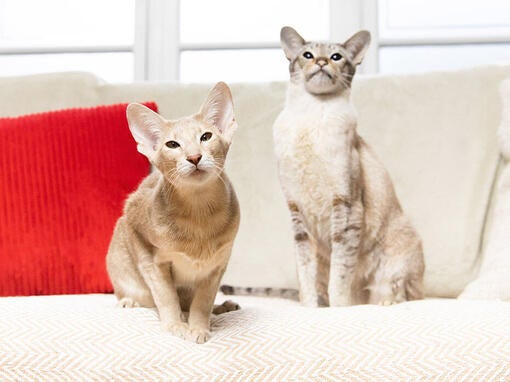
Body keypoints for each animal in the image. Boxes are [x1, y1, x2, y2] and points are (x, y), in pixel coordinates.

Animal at [106, 81, 241, 344]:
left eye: (206, 136)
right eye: (172, 145)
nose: (194, 157)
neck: (199, 213)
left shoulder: (219, 263)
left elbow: (203, 302)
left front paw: (199, 327)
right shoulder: (142, 242)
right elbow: (166, 295)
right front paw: (175, 325)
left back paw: (223, 307)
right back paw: (128, 301)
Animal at [223, 27, 422, 308]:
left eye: (336, 57)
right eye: (307, 55)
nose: (321, 62)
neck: (311, 114)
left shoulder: (346, 205)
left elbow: (340, 276)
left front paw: (338, 309)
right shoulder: (297, 213)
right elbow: (307, 277)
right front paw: (310, 309)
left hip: (399, 254)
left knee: (403, 294)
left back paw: (382, 303)